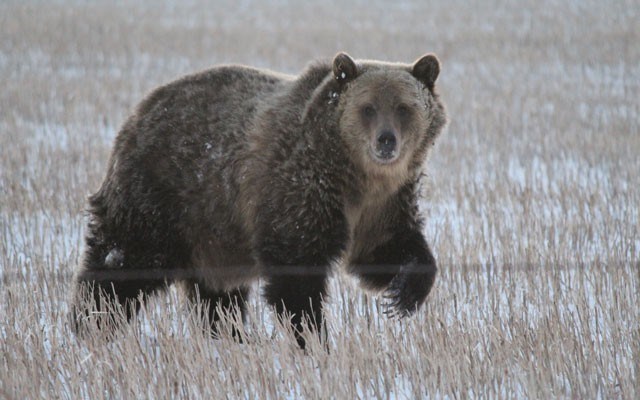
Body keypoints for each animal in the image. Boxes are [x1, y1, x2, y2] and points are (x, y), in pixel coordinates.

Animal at [71, 52, 444, 346]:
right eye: (367, 108)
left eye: (404, 108)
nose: (386, 141)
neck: (353, 174)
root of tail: (138, 112)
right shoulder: (299, 191)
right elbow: (296, 275)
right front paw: (313, 338)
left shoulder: (381, 206)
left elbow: (388, 248)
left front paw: (403, 294)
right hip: (162, 196)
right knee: (122, 264)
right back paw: (89, 325)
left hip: (214, 232)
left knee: (218, 296)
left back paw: (231, 336)